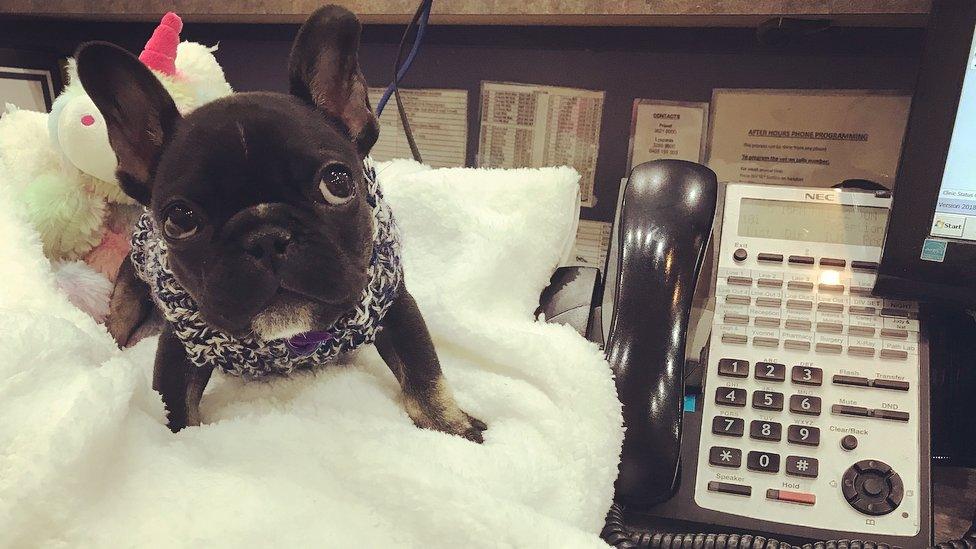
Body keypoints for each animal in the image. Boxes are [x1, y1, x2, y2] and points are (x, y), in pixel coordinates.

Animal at [76, 5, 488, 440]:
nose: (266, 238)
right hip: (129, 288)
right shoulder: (180, 346)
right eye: (179, 218)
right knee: (119, 319)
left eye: (337, 182)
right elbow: (175, 409)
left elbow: (423, 369)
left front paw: (450, 425)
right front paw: (179, 445)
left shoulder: (394, 304)